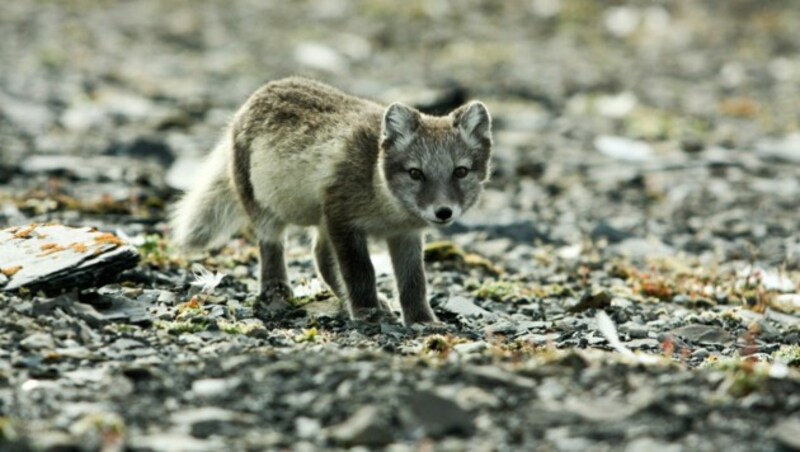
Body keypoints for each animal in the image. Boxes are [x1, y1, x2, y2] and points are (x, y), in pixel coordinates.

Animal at [172, 77, 490, 324]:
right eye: (416, 173)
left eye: (460, 171)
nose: (443, 212)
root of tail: (253, 99)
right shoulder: (343, 220)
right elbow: (360, 271)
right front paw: (367, 311)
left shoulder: (406, 235)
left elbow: (414, 281)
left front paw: (422, 320)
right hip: (266, 208)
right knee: (272, 245)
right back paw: (276, 289)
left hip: (322, 221)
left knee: (320, 257)